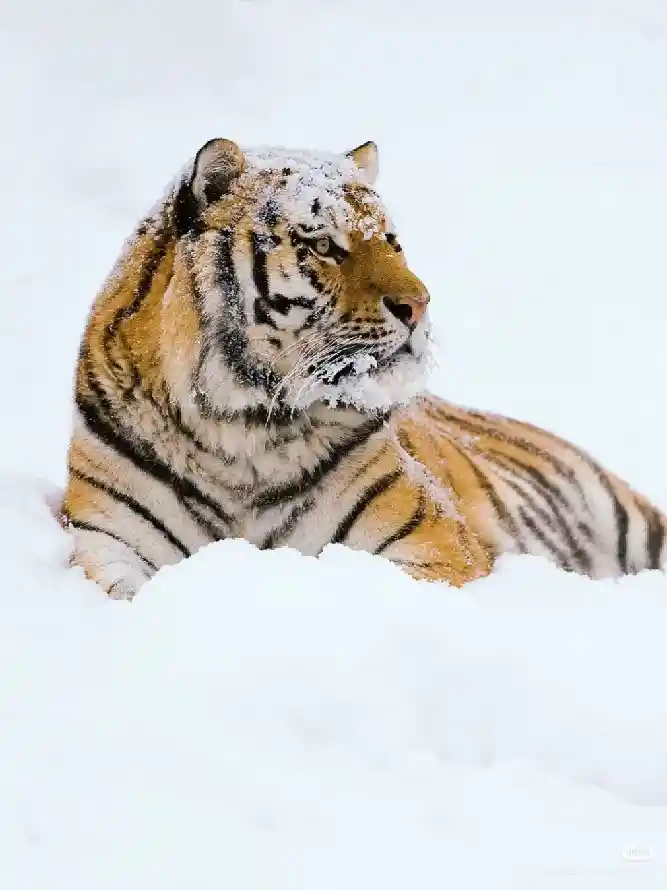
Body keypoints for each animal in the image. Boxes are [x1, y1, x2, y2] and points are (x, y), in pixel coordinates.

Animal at [62, 137, 667, 598]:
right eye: (325, 245)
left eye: (392, 242)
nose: (420, 304)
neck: (240, 428)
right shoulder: (108, 542)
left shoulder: (434, 544)